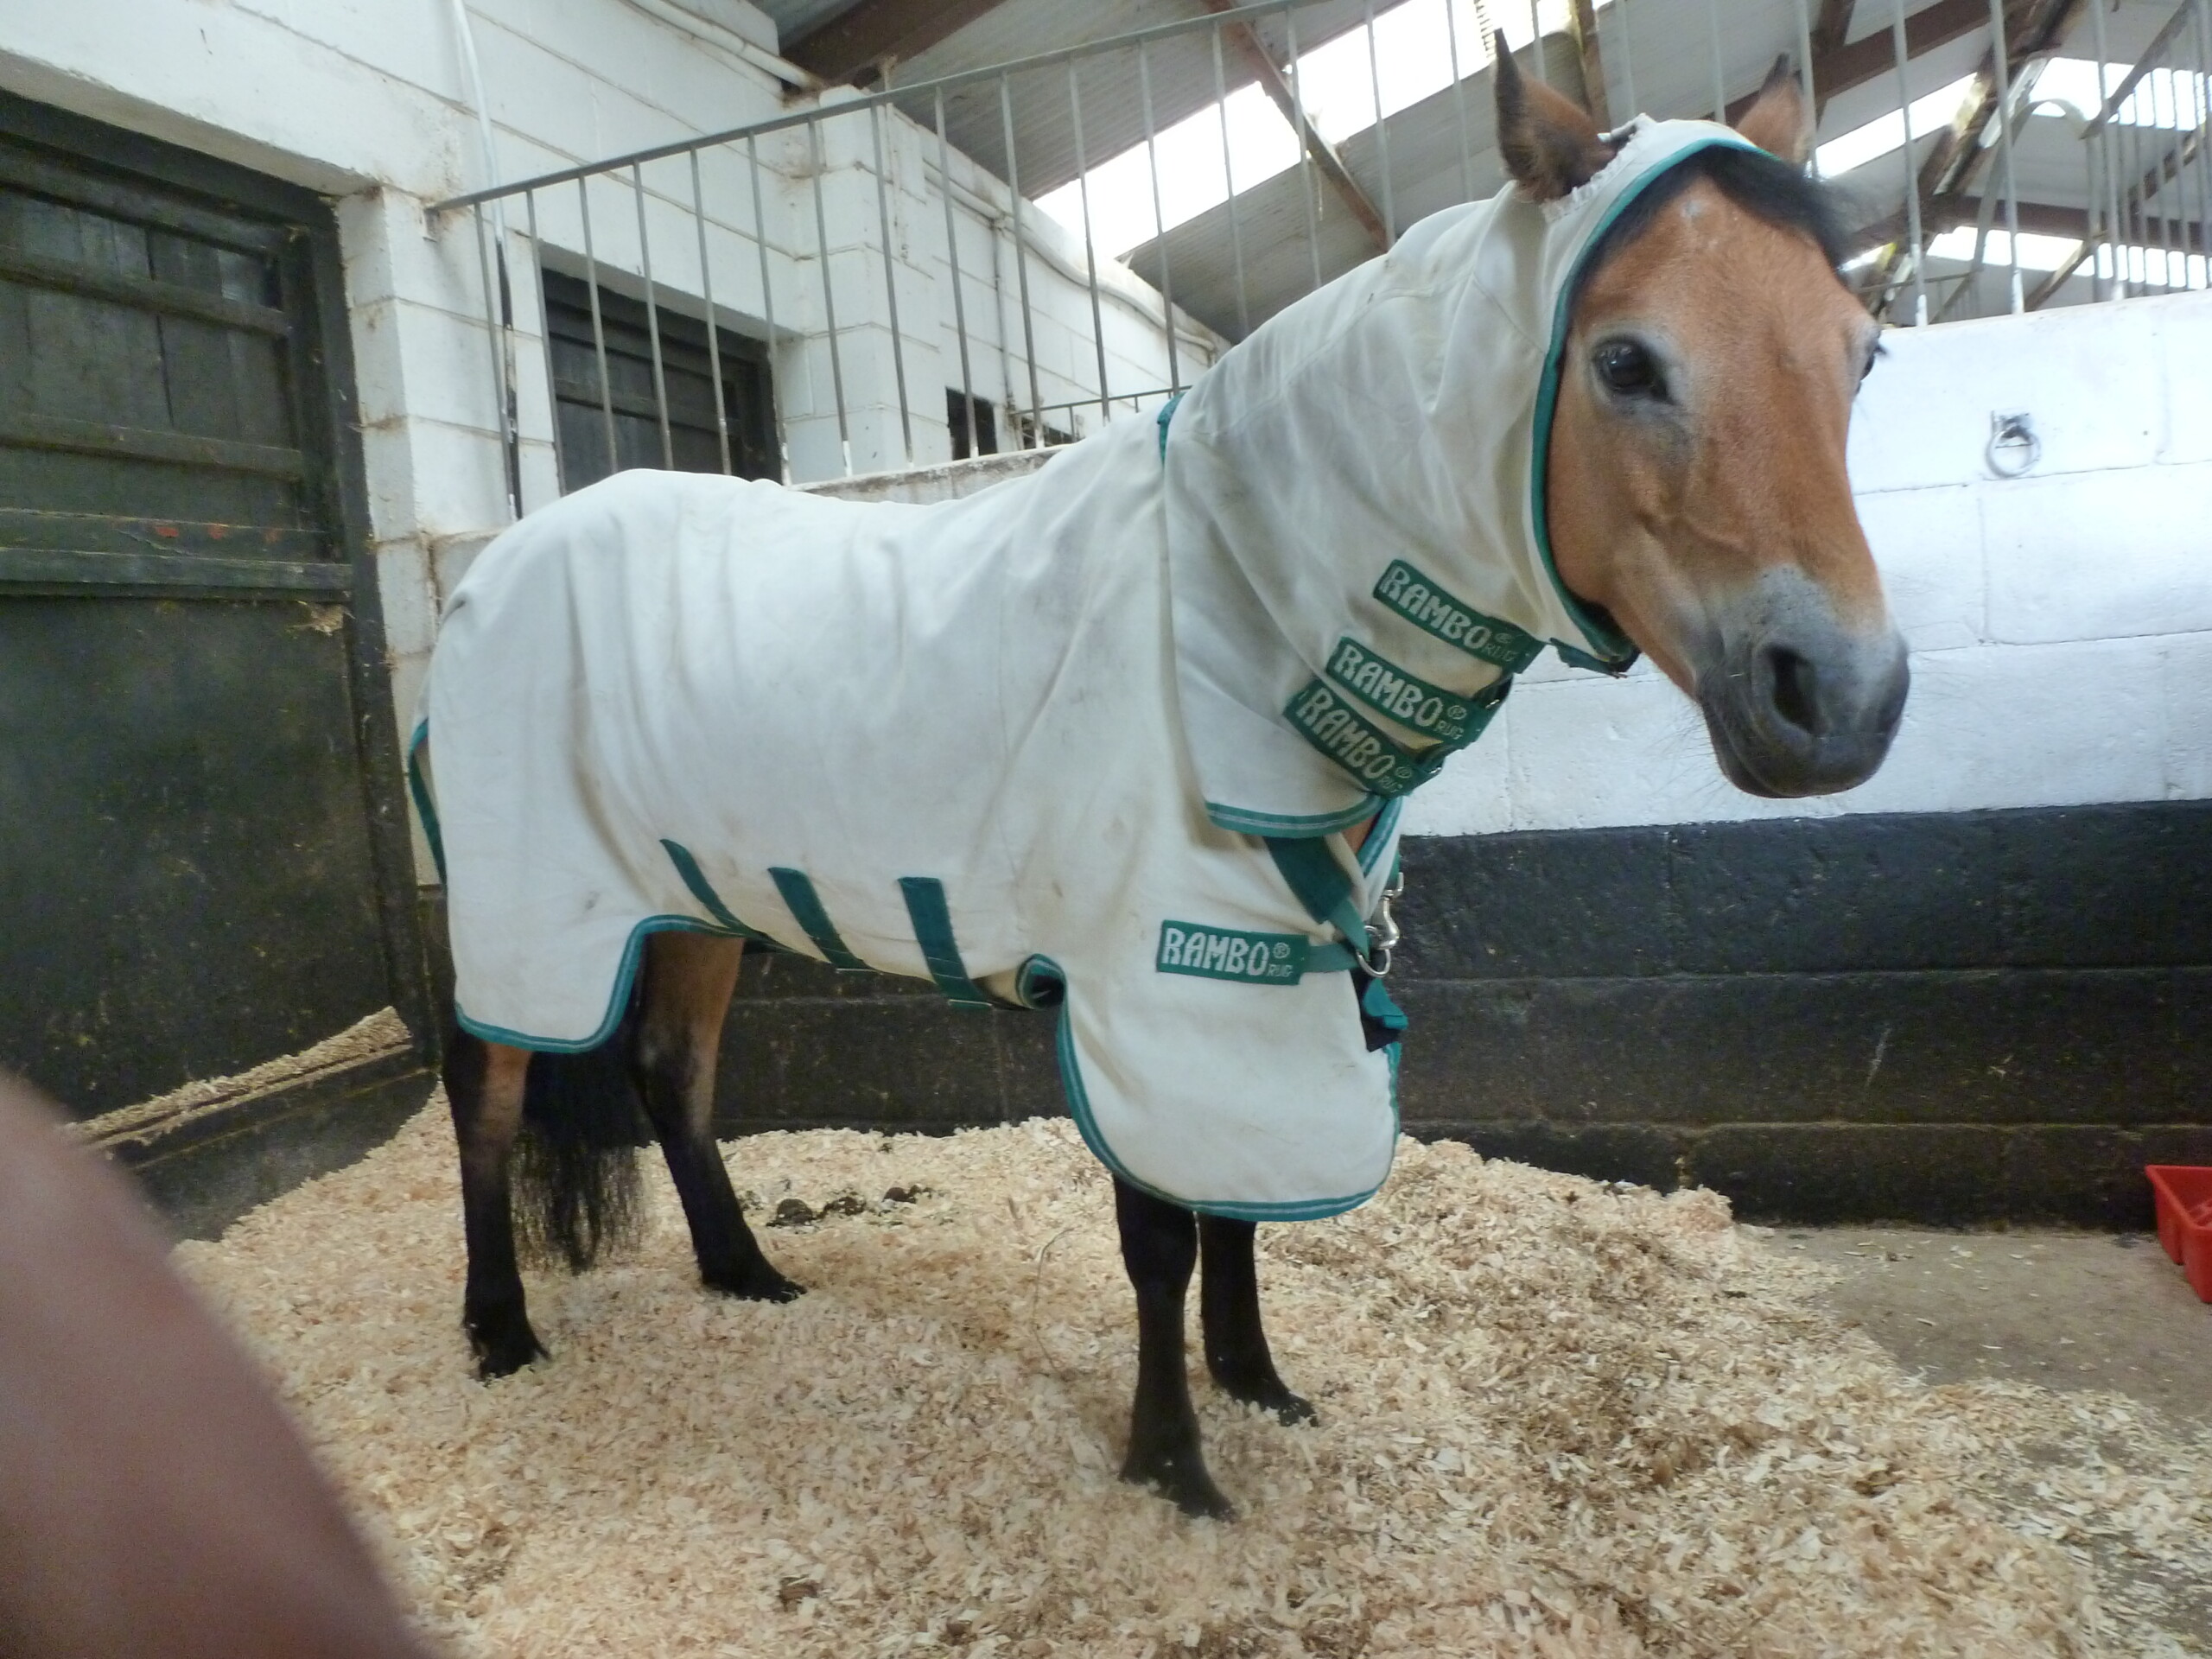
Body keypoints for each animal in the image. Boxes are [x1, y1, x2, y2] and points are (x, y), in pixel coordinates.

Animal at [419, 50, 1907, 1521]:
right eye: (1624, 359)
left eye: (1864, 351)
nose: (1842, 700)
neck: (1230, 604)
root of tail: (489, 569)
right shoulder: (1145, 980)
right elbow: (1159, 1240)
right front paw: (1172, 1463)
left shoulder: (1261, 979)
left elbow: (1236, 1209)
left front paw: (1257, 1385)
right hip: (531, 909)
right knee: (486, 1091)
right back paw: (499, 1332)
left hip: (693, 902)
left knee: (671, 1075)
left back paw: (744, 1274)